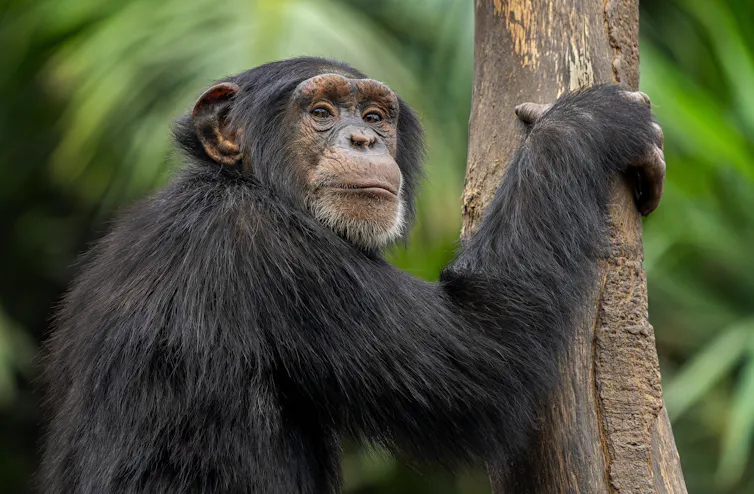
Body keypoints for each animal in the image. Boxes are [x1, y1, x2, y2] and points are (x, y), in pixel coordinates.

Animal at [40, 57, 665, 493]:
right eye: (320, 113)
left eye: (373, 117)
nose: (362, 139)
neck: (243, 185)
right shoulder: (277, 253)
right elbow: (485, 354)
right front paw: (588, 121)